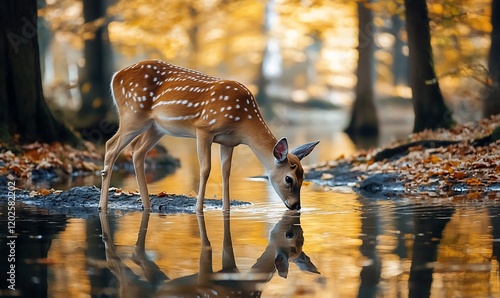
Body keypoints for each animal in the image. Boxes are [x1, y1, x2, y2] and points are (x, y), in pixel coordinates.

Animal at [99, 59, 318, 212]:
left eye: (303, 176)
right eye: (289, 179)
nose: (296, 206)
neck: (243, 120)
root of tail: (115, 76)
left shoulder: (229, 142)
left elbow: (225, 173)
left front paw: (226, 209)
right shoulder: (204, 129)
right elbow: (205, 169)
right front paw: (199, 208)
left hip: (157, 126)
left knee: (137, 151)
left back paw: (147, 205)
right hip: (133, 113)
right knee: (111, 145)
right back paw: (103, 205)